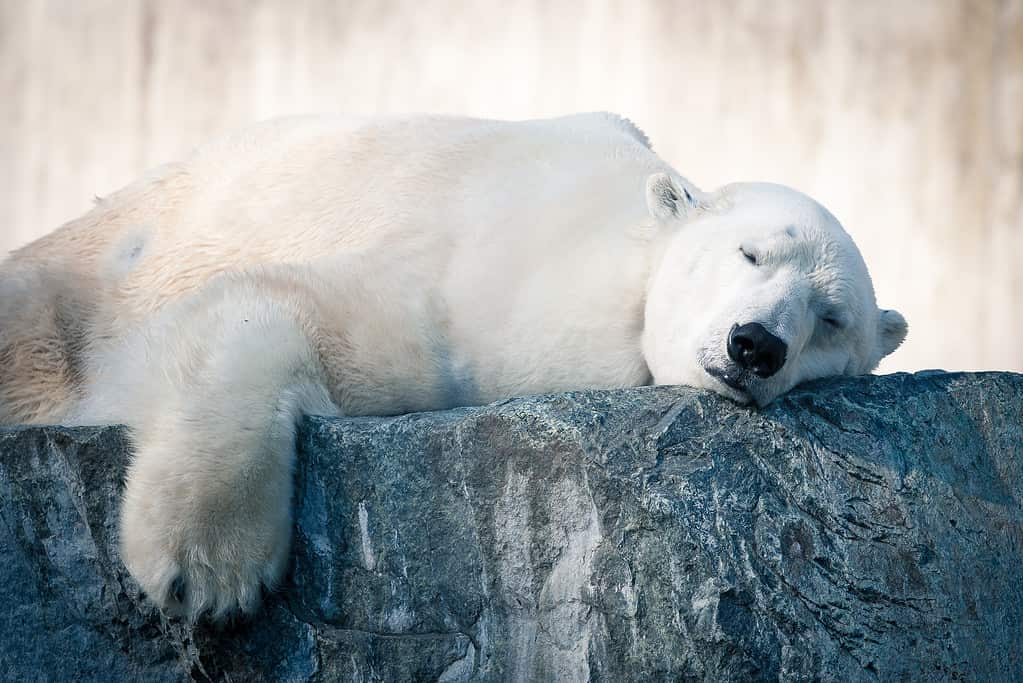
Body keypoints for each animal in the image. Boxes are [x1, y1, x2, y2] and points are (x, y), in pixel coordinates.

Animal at [0, 113, 908, 617]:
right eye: (749, 252)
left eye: (830, 318)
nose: (756, 343)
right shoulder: (468, 300)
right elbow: (287, 308)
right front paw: (207, 569)